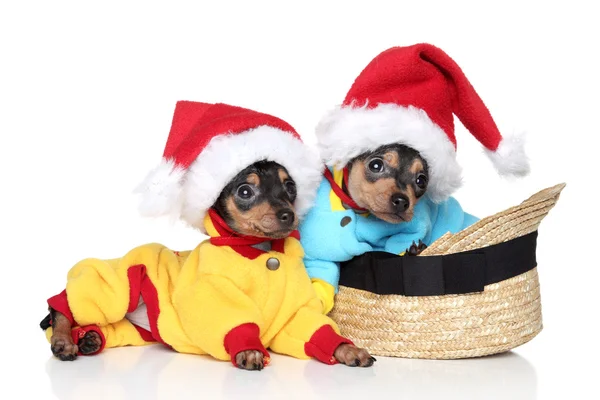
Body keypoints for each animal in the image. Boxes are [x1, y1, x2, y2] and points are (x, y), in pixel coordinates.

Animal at [43, 101, 376, 370]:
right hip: (121, 285)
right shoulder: (216, 293)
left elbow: (314, 329)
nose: (288, 215)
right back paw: (64, 340)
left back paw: (89, 339)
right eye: (245, 191)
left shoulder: (294, 313)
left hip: (136, 328)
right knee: (62, 306)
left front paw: (348, 350)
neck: (260, 250)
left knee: (104, 326)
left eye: (290, 187)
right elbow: (236, 322)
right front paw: (249, 350)